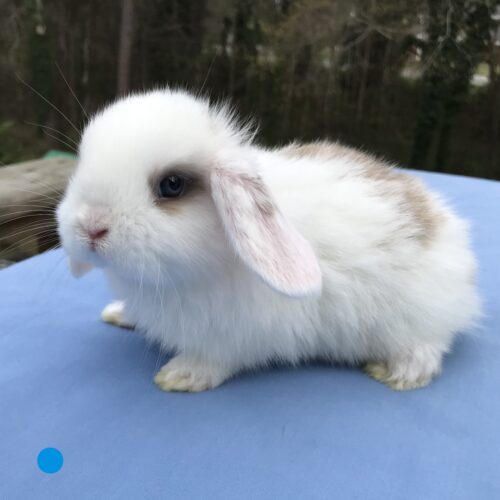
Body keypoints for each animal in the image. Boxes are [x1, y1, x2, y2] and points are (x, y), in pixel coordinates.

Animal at [56, 92, 482, 392]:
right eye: (81, 165)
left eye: (172, 185)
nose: (91, 227)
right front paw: (119, 313)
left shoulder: (235, 339)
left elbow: (214, 360)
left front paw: (179, 376)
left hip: (416, 323)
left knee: (429, 350)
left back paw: (398, 373)